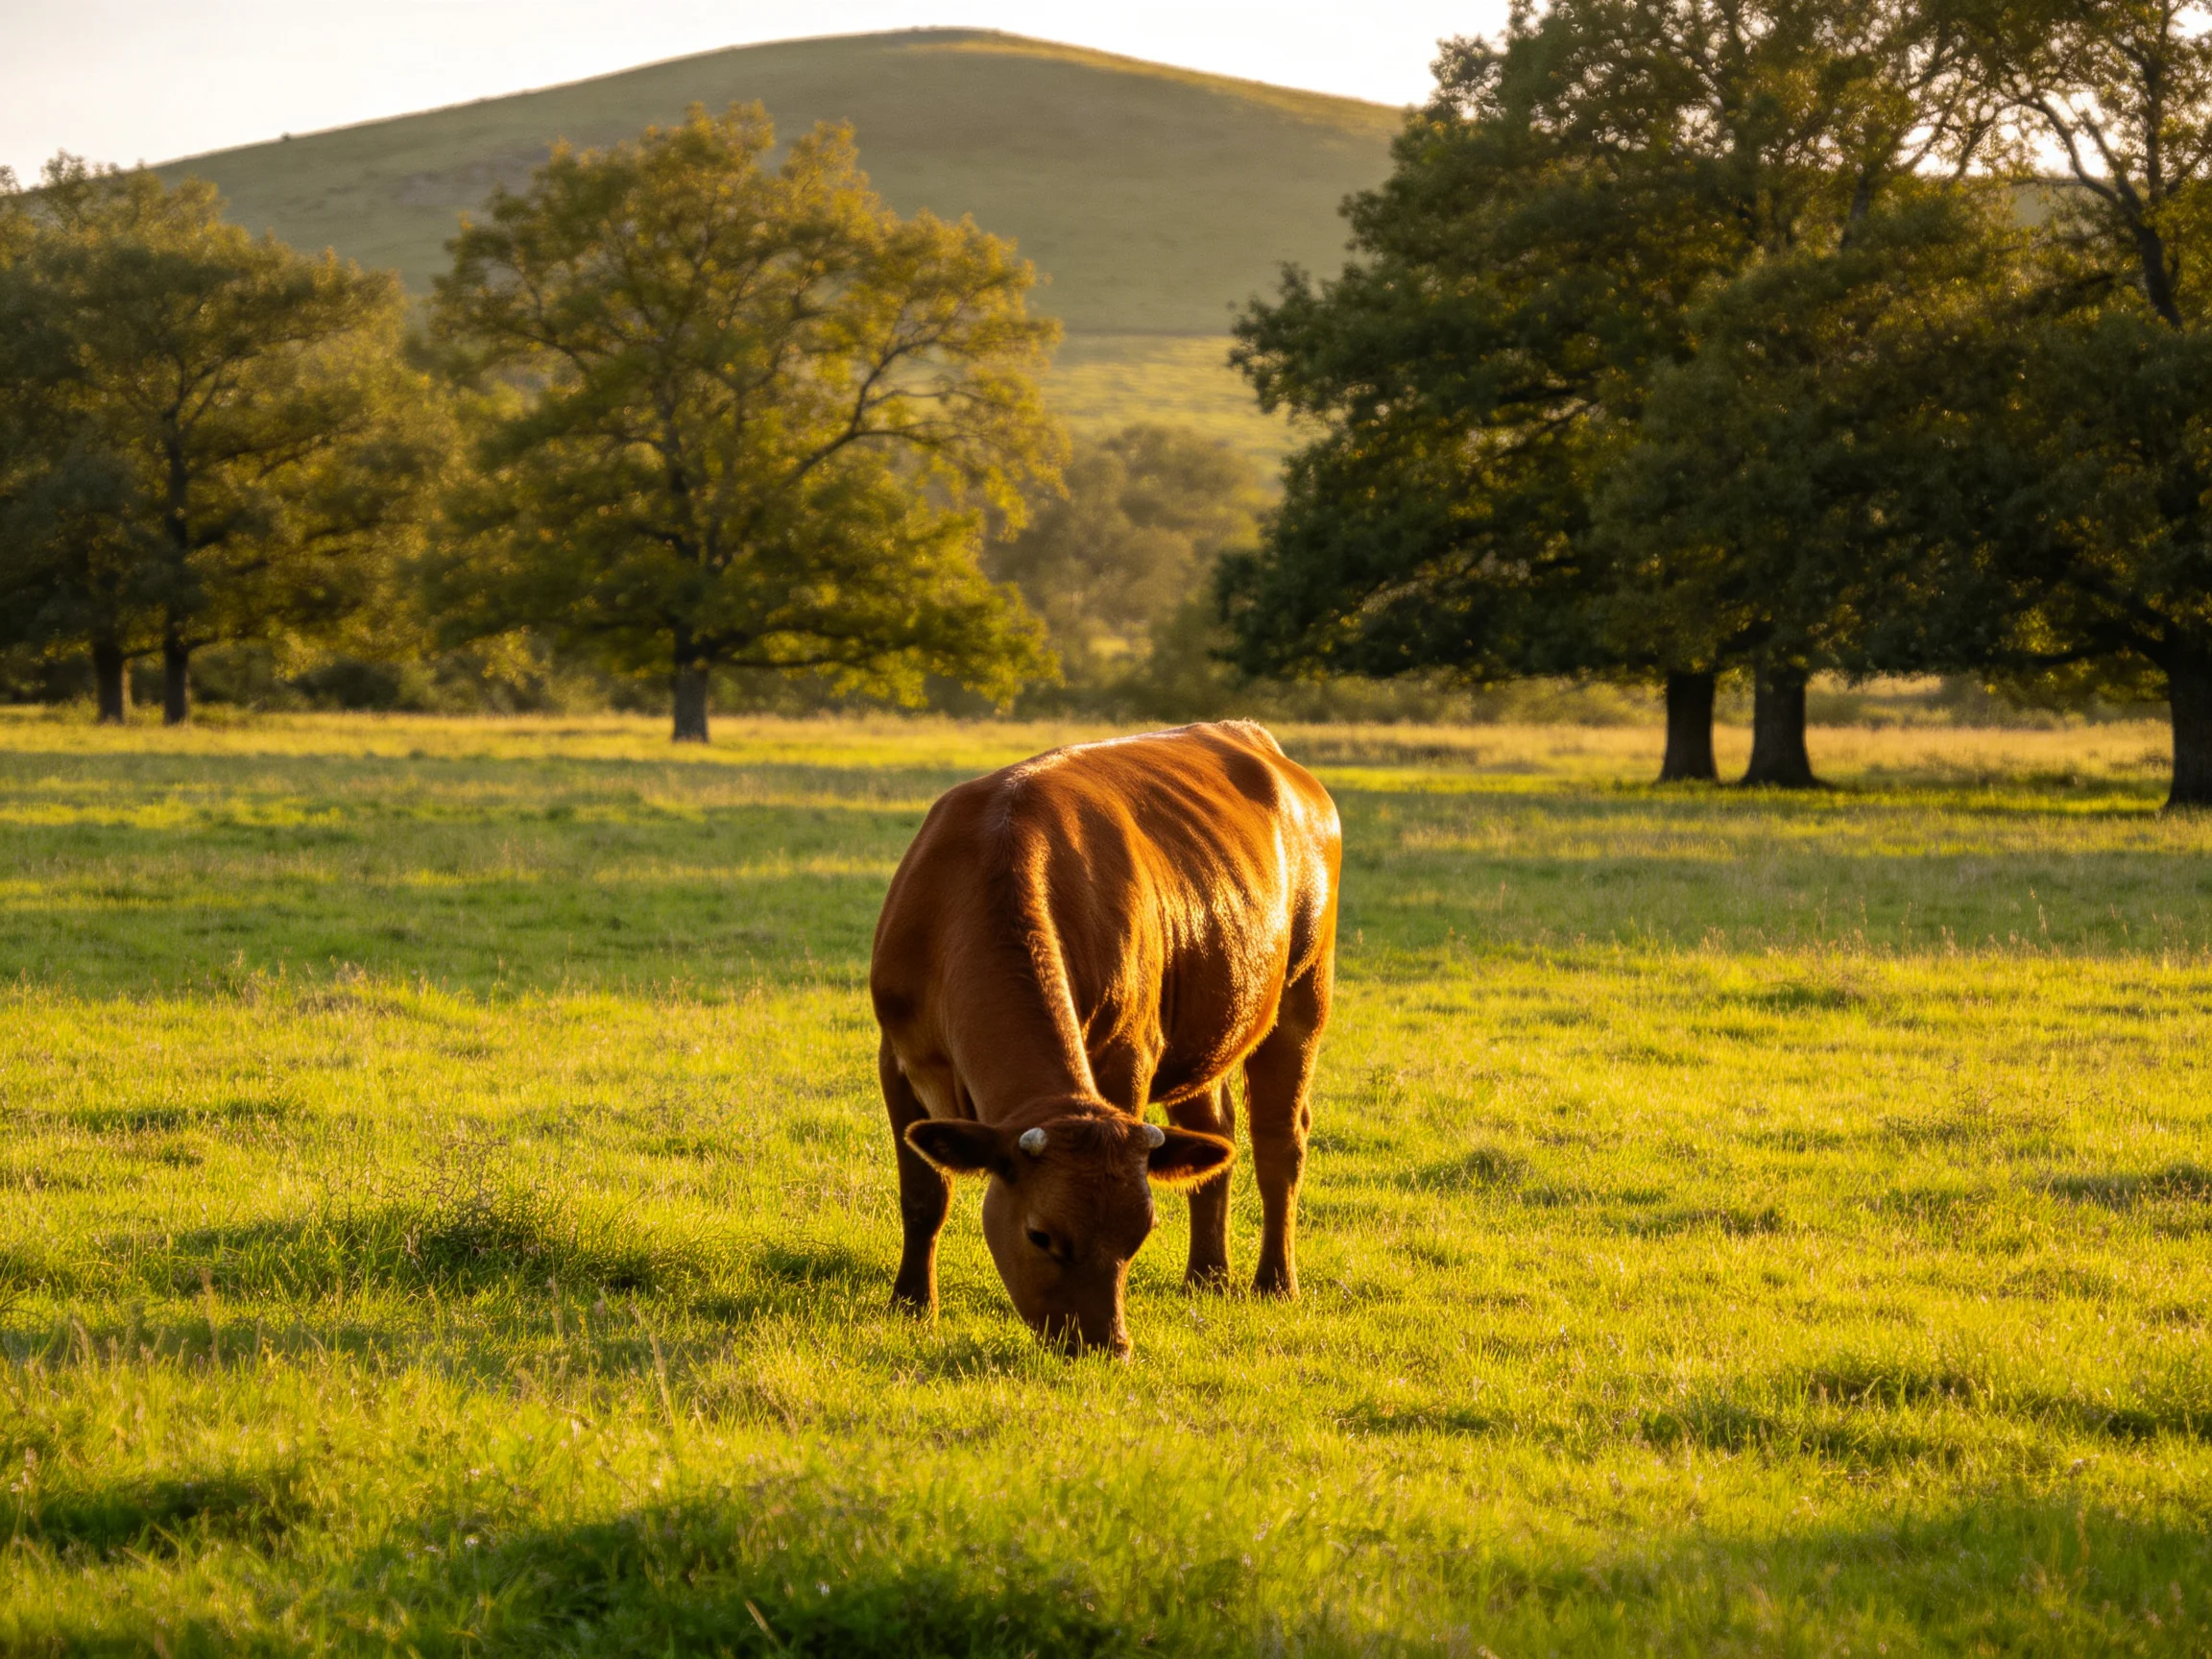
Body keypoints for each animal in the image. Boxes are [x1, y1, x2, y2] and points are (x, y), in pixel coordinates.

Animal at [869, 720, 1341, 1357]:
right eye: (1040, 1235)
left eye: (1139, 1233)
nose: (1102, 1344)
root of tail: (1251, 735)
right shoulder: (897, 1057)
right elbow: (923, 1196)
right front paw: (913, 1305)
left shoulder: (1127, 1054)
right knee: (1216, 1134)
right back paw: (1206, 1277)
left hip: (1303, 995)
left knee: (1279, 1145)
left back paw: (1274, 1283)